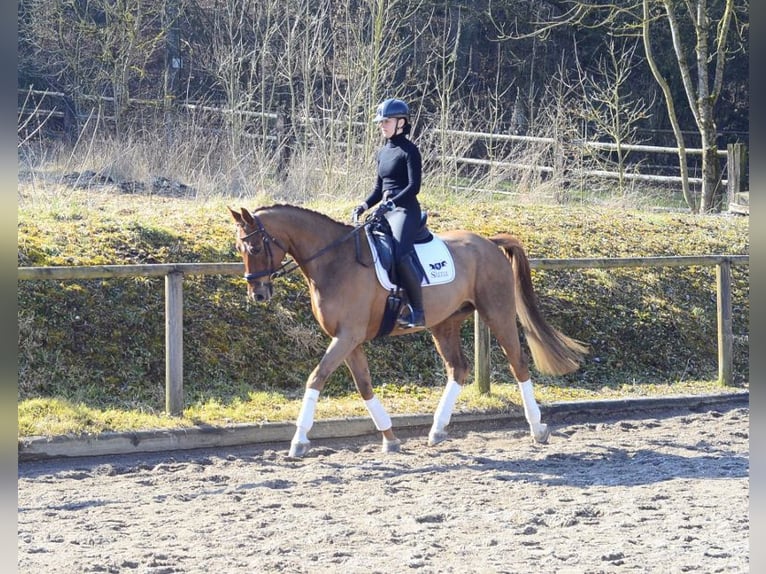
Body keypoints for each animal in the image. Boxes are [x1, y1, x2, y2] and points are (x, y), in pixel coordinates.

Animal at [228, 202, 588, 460]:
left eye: (256, 248)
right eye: (239, 249)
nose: (258, 294)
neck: (334, 261)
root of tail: (488, 241)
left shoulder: (347, 337)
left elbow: (316, 378)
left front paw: (299, 440)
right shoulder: (349, 340)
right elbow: (364, 386)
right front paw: (390, 438)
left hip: (496, 312)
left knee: (518, 364)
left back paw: (537, 428)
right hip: (445, 323)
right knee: (458, 368)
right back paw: (438, 430)